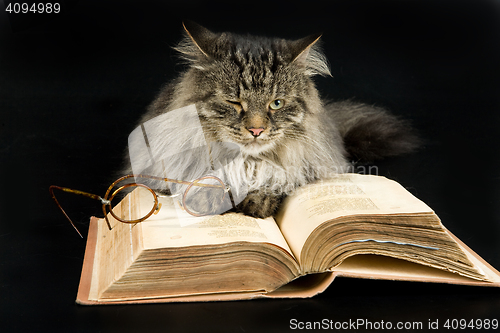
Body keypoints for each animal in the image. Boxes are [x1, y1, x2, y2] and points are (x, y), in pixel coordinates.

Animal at [124, 20, 418, 218]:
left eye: (276, 104)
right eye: (233, 102)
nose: (256, 130)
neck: (247, 162)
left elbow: (275, 180)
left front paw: (259, 199)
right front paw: (211, 196)